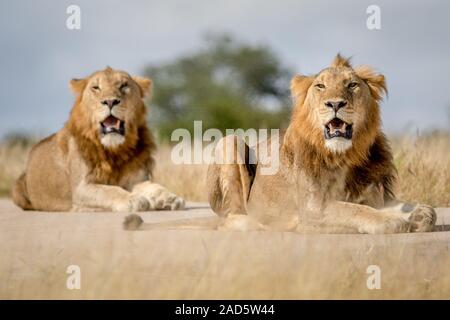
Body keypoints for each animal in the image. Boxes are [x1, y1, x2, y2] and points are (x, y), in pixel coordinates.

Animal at [12, 67, 185, 212]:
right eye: (96, 88)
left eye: (124, 85)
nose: (110, 101)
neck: (115, 151)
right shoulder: (81, 188)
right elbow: (109, 190)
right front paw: (133, 199)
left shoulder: (135, 179)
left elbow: (154, 186)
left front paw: (170, 198)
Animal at [124, 56, 436, 234]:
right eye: (320, 86)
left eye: (352, 85)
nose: (335, 103)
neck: (347, 156)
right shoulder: (313, 207)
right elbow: (353, 210)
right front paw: (391, 222)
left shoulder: (376, 195)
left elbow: (413, 207)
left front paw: (420, 214)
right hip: (231, 143)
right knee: (231, 218)